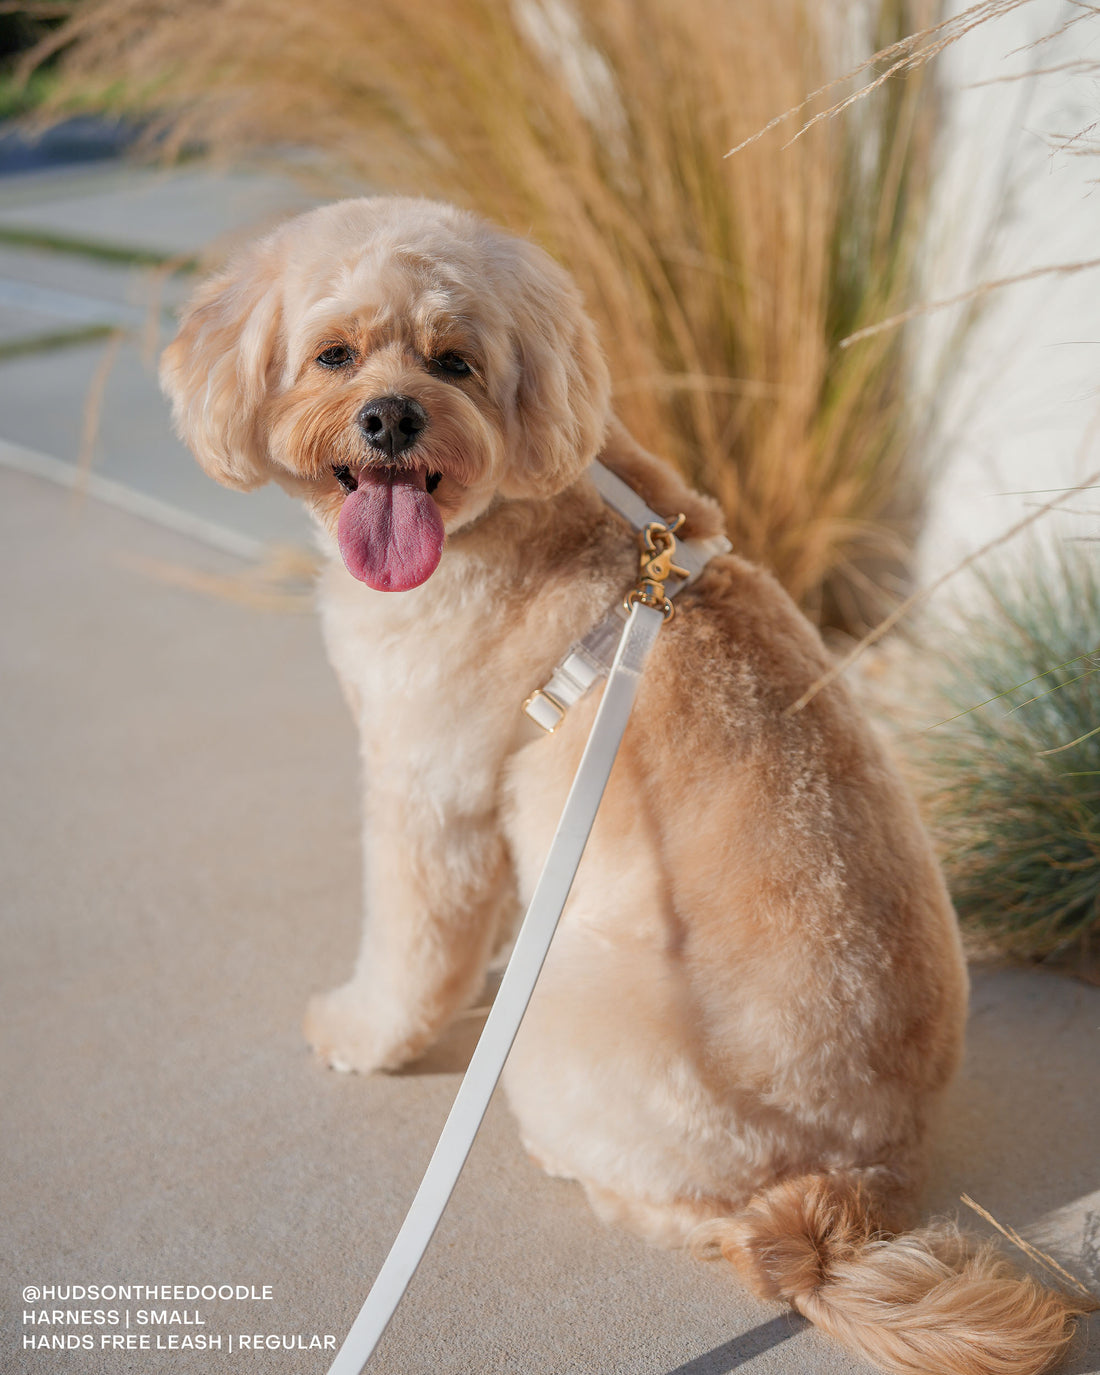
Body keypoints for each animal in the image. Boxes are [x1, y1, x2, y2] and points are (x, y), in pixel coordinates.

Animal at [158, 196, 1089, 1375]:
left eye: (455, 362)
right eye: (333, 353)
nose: (390, 418)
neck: (511, 507)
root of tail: (852, 1183)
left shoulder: (427, 794)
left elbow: (412, 952)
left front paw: (364, 1034)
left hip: (563, 1024)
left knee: (692, 1215)